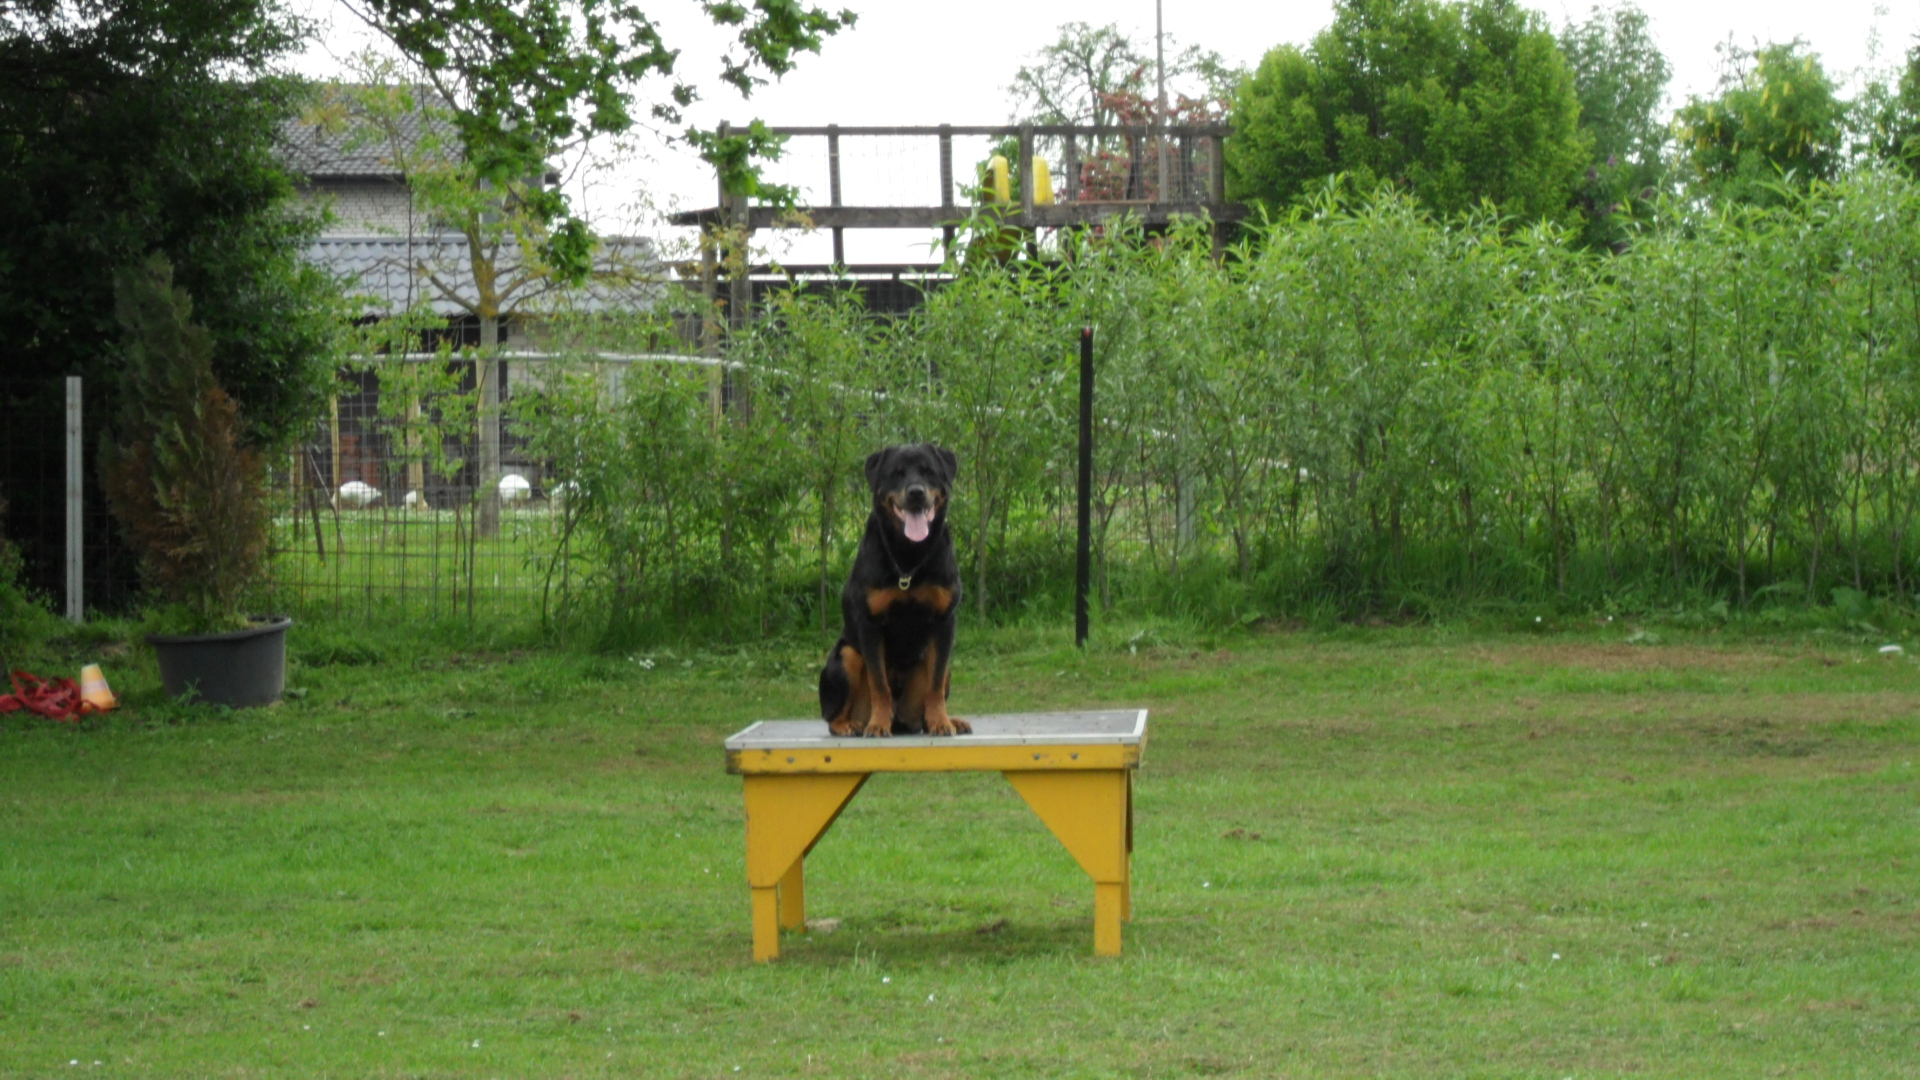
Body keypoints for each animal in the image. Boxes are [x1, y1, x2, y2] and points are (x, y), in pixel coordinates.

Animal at [819, 443, 970, 737]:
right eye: (896, 473)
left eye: (928, 471)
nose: (916, 493)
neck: (909, 556)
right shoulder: (870, 624)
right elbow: (879, 684)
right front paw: (878, 724)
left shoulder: (944, 622)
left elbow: (935, 685)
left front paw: (941, 722)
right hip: (846, 656)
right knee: (832, 716)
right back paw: (850, 725)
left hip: (943, 667)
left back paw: (950, 720)